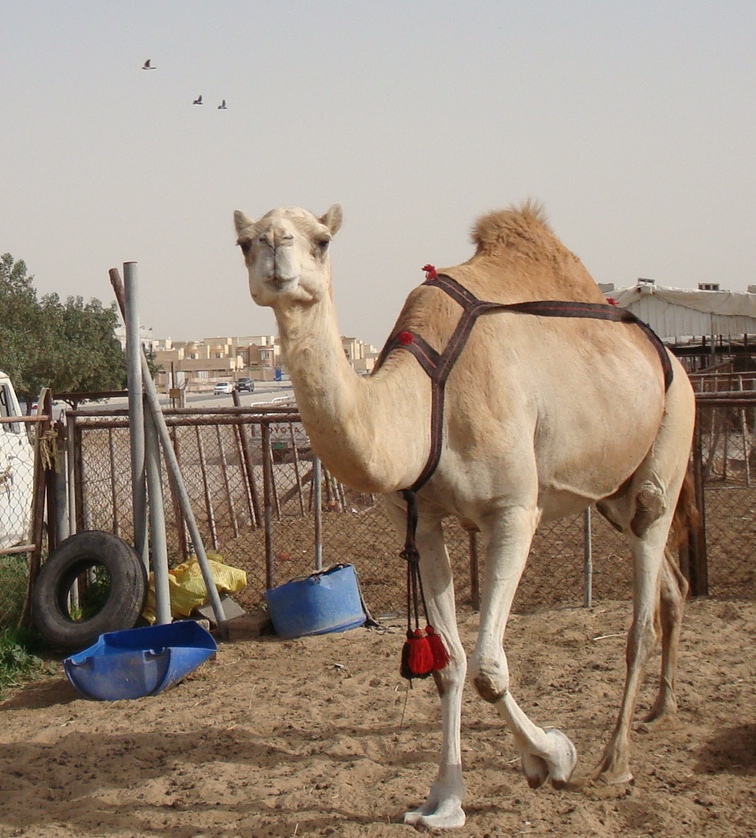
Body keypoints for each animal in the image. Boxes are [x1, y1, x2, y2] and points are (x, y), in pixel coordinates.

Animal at [233, 201, 697, 831]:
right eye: (245, 242)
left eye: (322, 240)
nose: (278, 250)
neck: (423, 402)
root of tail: (674, 358)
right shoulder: (421, 523)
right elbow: (449, 665)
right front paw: (444, 800)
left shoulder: (513, 511)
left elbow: (487, 669)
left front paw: (554, 757)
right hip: (610, 495)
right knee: (673, 585)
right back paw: (661, 709)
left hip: (669, 440)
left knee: (642, 609)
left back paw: (615, 761)